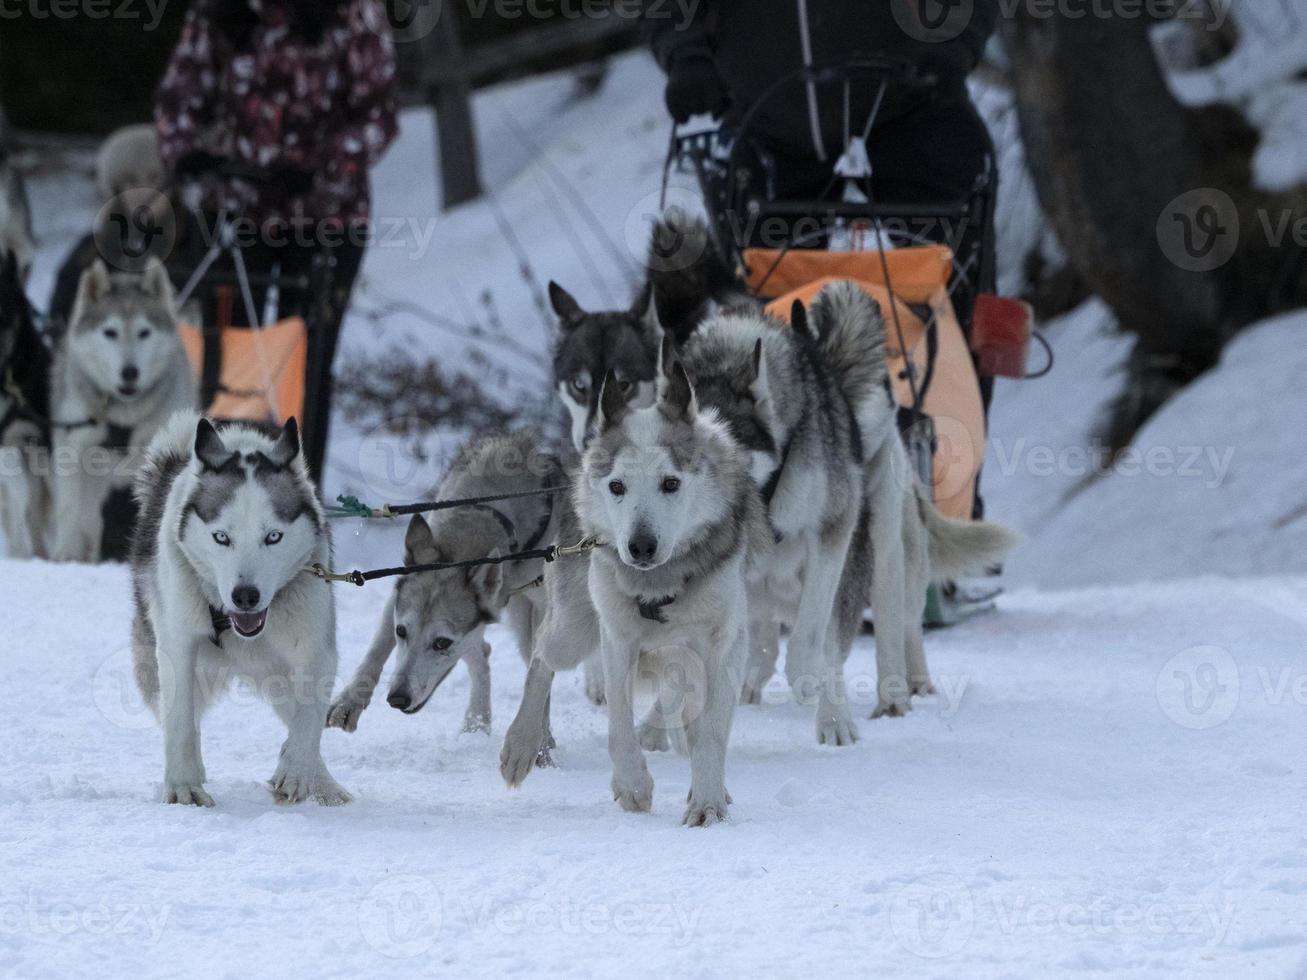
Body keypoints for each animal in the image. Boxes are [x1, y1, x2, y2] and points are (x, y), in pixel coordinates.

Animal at [50, 257, 196, 564]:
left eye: (144, 332)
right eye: (110, 332)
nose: (130, 372)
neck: (121, 413)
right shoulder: (74, 447)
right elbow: (71, 510)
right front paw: (67, 554)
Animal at [128, 412, 350, 804]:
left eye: (273, 536)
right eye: (221, 537)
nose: (245, 596)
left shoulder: (316, 649)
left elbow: (308, 719)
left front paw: (296, 771)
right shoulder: (177, 645)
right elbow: (180, 722)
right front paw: (183, 787)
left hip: (276, 671)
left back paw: (322, 783)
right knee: (180, 715)